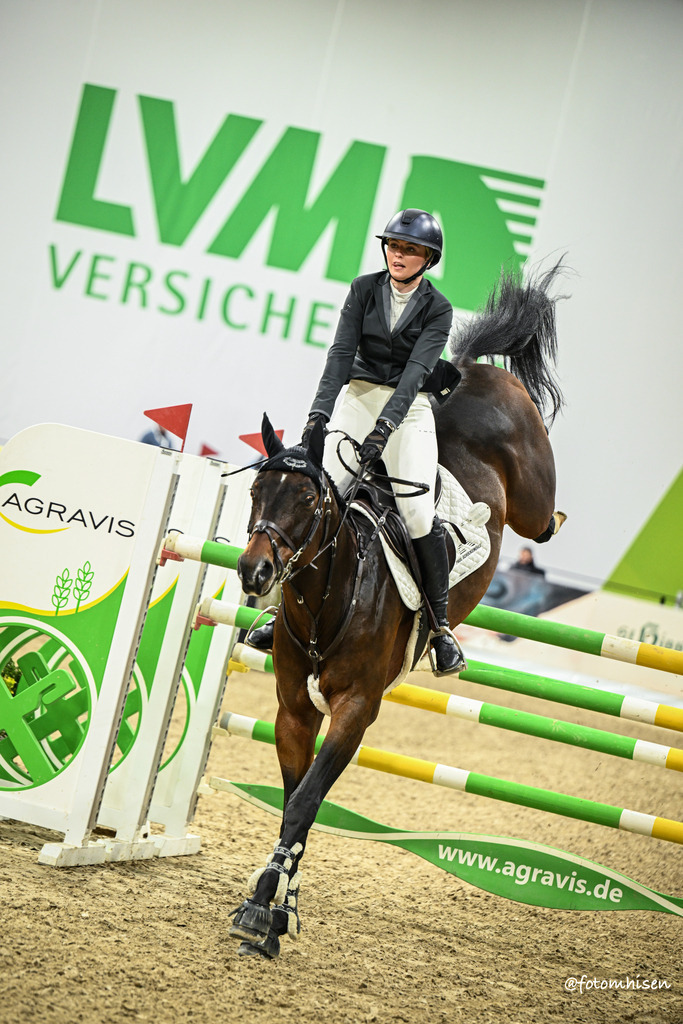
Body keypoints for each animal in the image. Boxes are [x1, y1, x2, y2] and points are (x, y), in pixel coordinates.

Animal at [230, 262, 566, 959]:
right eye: (256, 489)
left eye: (309, 499)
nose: (255, 573)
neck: (328, 600)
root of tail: (475, 372)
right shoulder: (294, 708)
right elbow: (295, 797)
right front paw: (279, 909)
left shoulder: (356, 710)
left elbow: (304, 803)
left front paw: (262, 908)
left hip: (530, 492)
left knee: (542, 518)